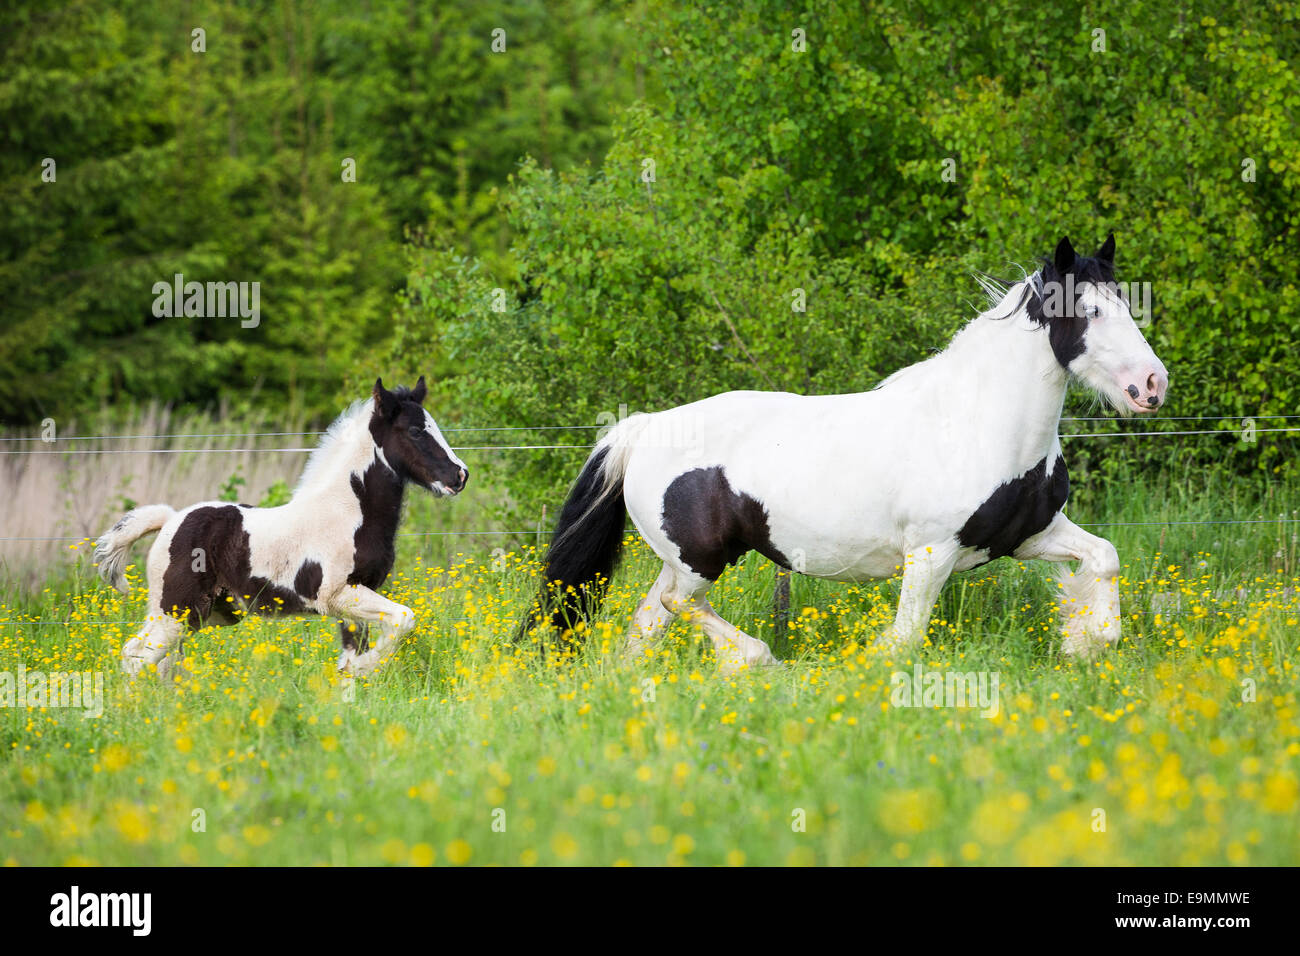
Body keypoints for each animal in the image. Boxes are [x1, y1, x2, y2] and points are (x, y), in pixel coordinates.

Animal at [94, 379, 467, 681]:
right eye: (415, 431)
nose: (460, 475)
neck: (346, 513)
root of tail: (171, 520)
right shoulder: (337, 595)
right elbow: (404, 619)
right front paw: (365, 670)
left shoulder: (357, 598)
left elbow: (354, 655)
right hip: (176, 610)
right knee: (136, 656)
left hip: (207, 614)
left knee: (163, 662)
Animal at [525, 234, 1170, 671]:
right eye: (1088, 311)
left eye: (1127, 304)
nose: (1152, 385)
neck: (976, 422)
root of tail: (639, 429)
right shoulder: (931, 553)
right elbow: (904, 639)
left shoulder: (1027, 534)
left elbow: (1104, 558)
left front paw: (1084, 643)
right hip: (700, 560)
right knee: (677, 606)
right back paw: (756, 658)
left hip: (679, 560)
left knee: (647, 623)